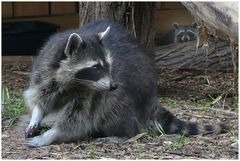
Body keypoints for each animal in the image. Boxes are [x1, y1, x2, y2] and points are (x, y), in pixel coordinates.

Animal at [23, 18, 226, 147]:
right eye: (95, 67)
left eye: (108, 65)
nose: (113, 86)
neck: (76, 82)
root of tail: (151, 98)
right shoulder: (46, 71)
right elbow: (41, 96)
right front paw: (37, 115)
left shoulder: (93, 93)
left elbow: (79, 119)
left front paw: (51, 135)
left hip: (133, 92)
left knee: (114, 106)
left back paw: (123, 133)